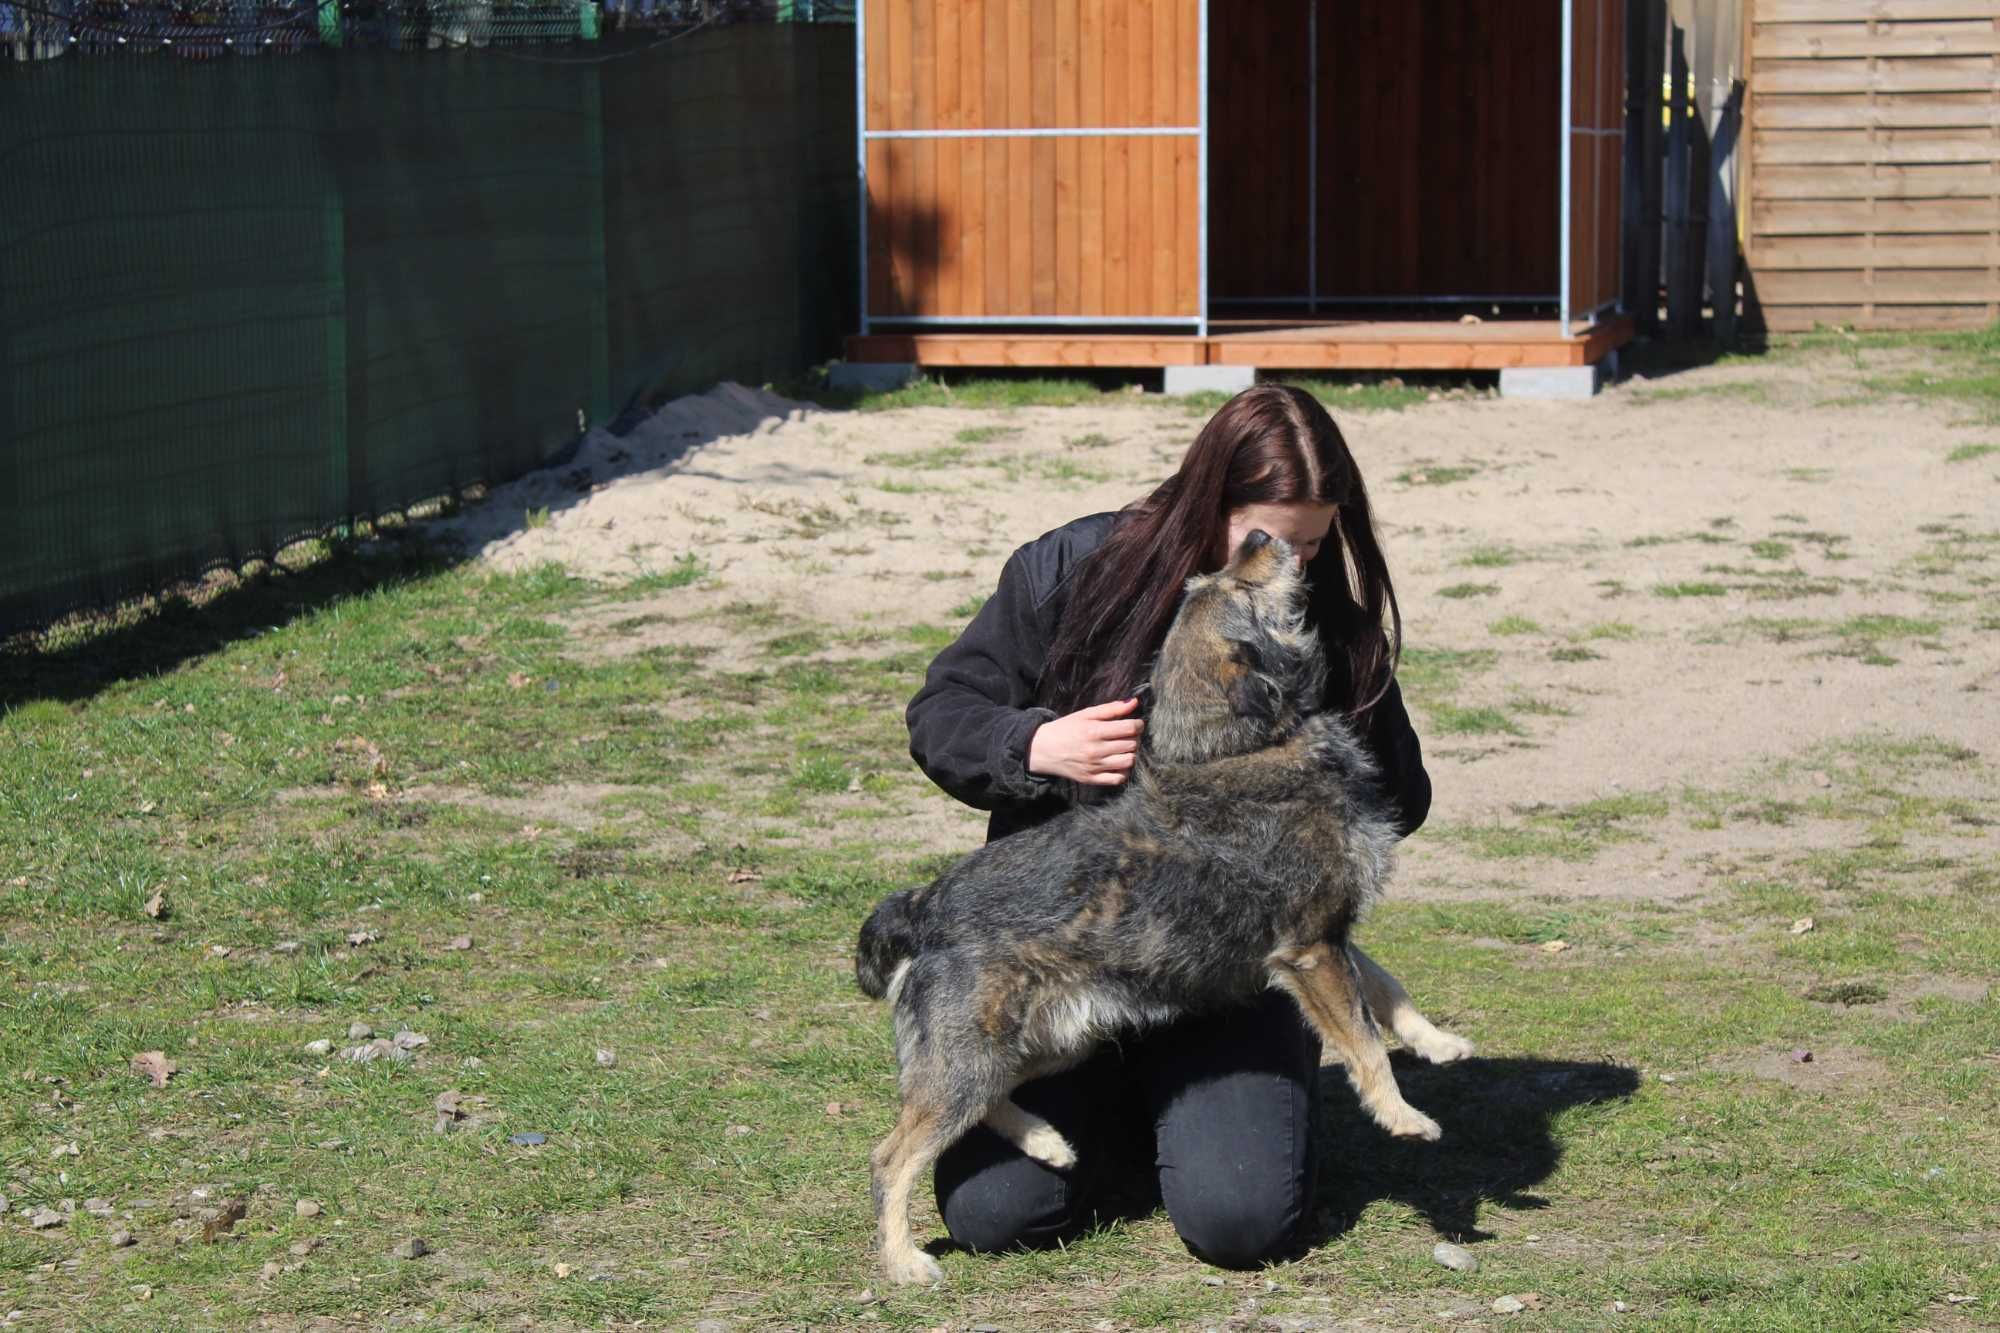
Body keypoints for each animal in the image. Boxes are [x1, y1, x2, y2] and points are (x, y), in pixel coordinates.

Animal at [856, 528, 1472, 1280]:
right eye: (1240, 589)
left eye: (1213, 580)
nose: (1259, 536)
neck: (1240, 747)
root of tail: (922, 906)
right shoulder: (1311, 948)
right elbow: (1364, 1043)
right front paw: (1404, 1116)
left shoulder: (1328, 936)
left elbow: (1387, 990)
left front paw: (1437, 1042)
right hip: (973, 1059)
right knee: (893, 1156)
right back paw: (903, 1261)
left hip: (1051, 1042)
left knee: (986, 1105)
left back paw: (1046, 1141)